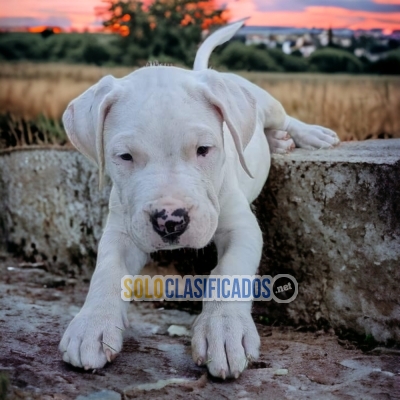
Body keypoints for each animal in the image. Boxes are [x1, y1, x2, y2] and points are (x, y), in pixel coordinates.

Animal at [59, 20, 340, 380]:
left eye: (204, 149)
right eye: (124, 157)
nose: (170, 220)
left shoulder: (241, 228)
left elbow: (229, 271)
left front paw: (224, 330)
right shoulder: (123, 229)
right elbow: (107, 269)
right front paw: (92, 324)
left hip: (268, 103)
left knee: (285, 118)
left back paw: (309, 135)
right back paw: (277, 142)